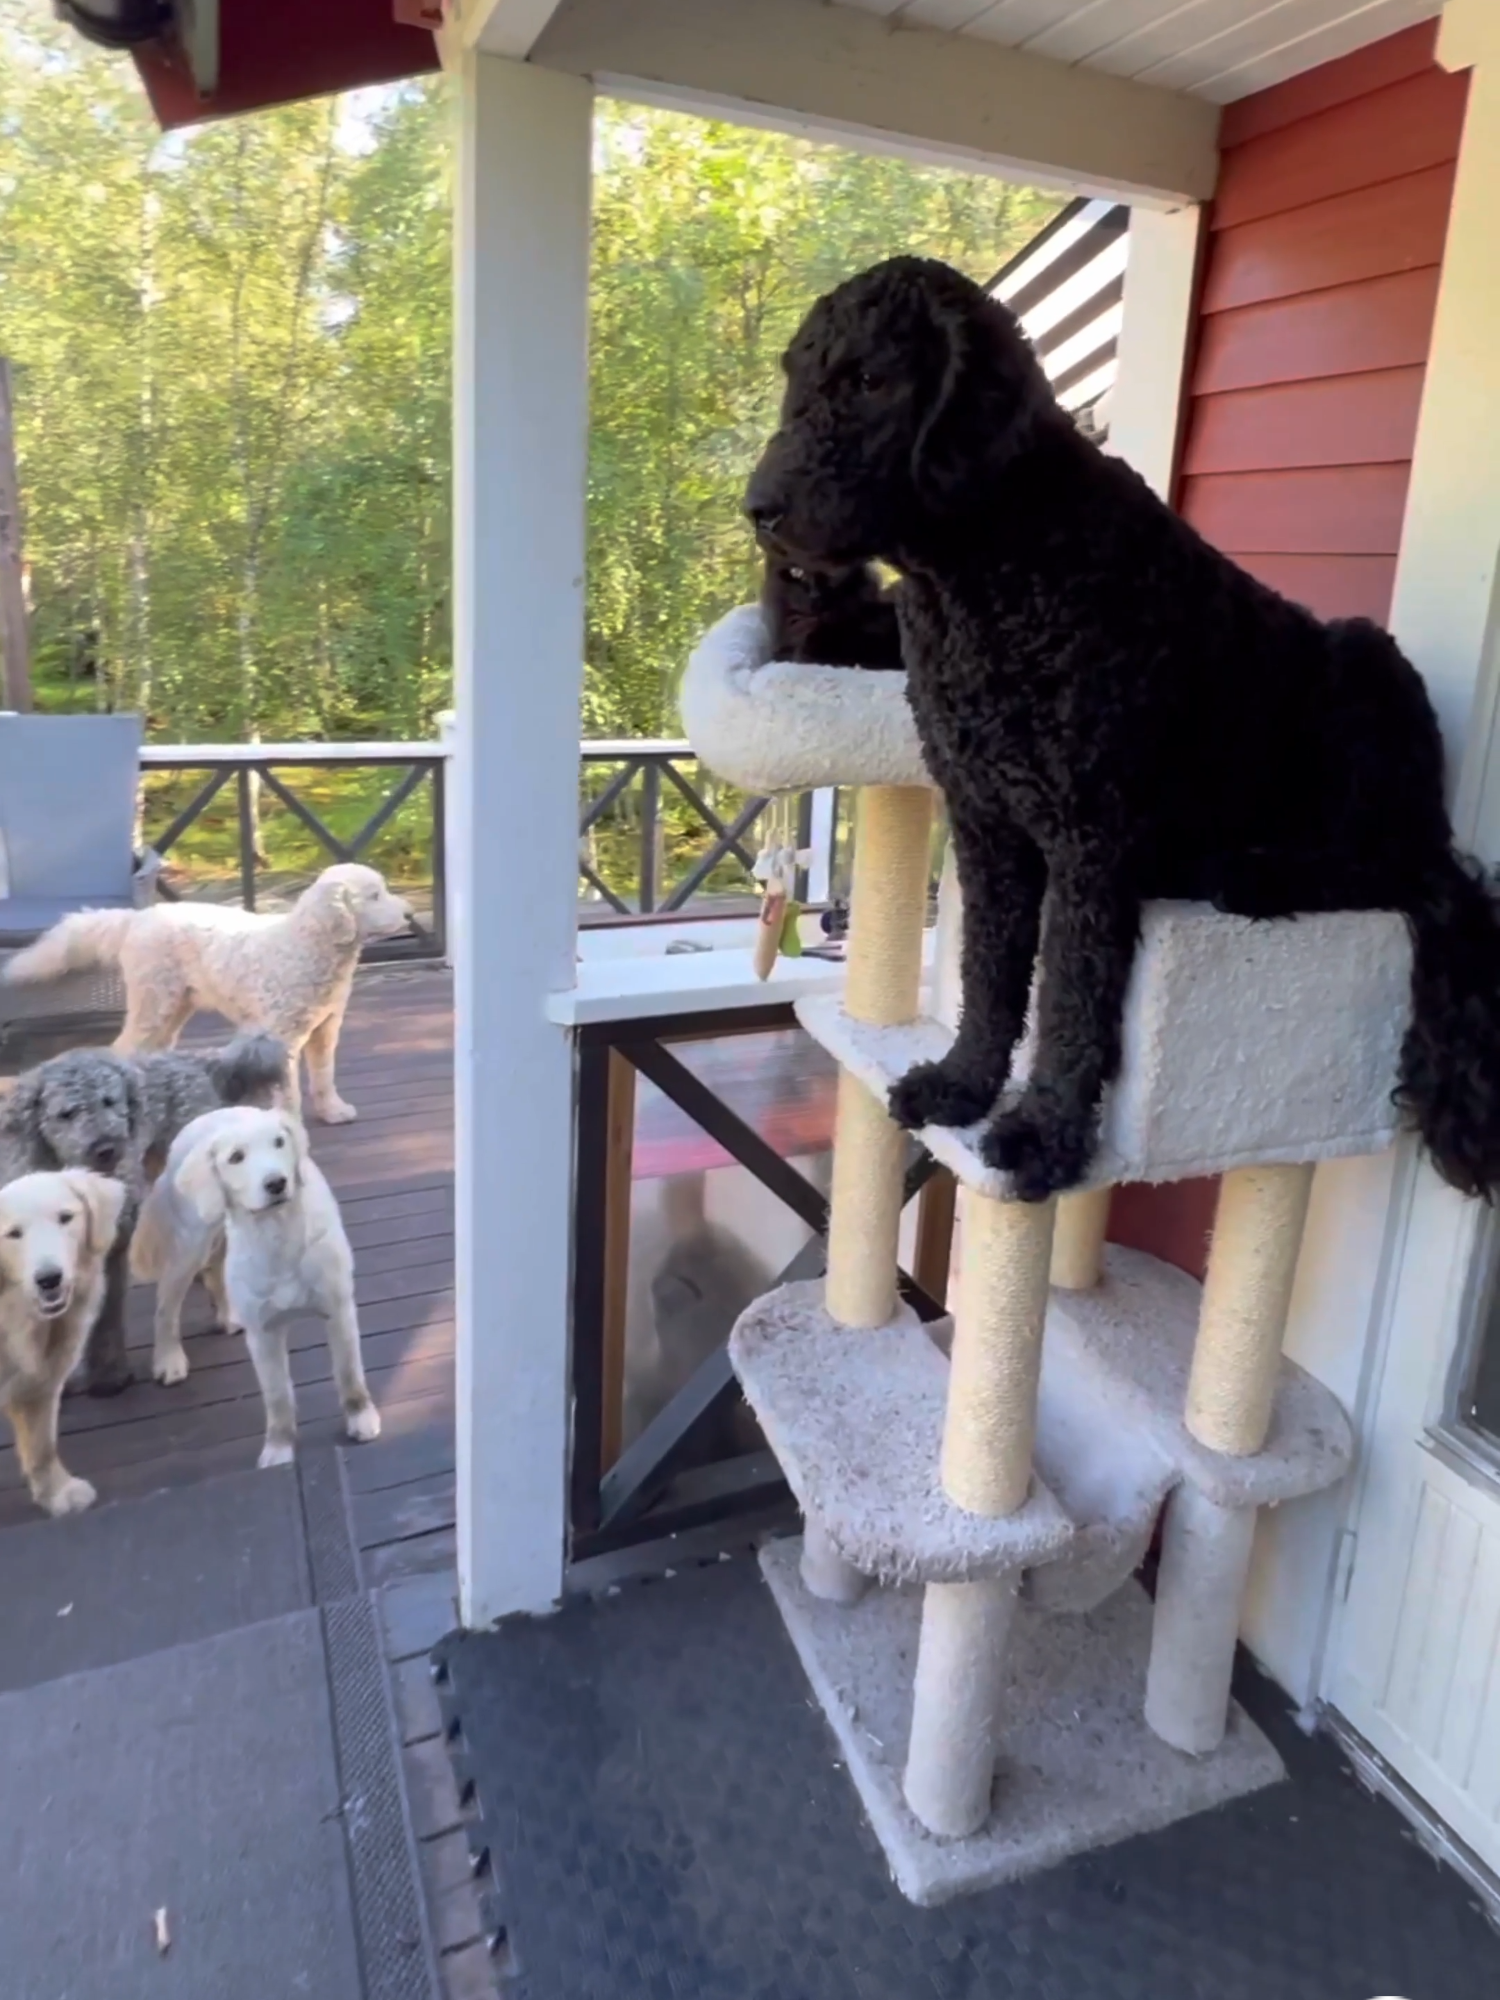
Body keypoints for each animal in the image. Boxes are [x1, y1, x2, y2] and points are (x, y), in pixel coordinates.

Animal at [0, 1168, 128, 1512]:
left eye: (65, 1218)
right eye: (13, 1234)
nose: (49, 1279)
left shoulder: (38, 1376)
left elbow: (42, 1444)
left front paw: (59, 1493)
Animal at [2, 864, 414, 1128]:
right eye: (375, 895)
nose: (411, 914)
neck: (308, 945)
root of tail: (139, 917)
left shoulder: (324, 1029)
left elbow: (324, 1075)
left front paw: (333, 1111)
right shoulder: (282, 1037)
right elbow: (289, 1093)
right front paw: (291, 1127)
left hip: (175, 1006)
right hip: (154, 1003)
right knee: (124, 1049)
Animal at [132, 1104, 382, 1464]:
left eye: (279, 1142)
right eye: (236, 1157)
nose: (277, 1183)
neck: (278, 1236)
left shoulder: (339, 1309)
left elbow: (348, 1372)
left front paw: (360, 1417)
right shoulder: (263, 1334)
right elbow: (277, 1396)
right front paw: (279, 1450)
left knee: (215, 1271)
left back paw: (227, 1316)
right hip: (191, 1245)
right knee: (167, 1304)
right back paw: (168, 1359)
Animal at [752, 256, 1500, 1192]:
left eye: (868, 381)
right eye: (794, 378)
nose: (757, 509)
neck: (993, 570)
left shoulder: (1088, 834)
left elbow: (1070, 994)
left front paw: (1045, 1132)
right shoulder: (986, 820)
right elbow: (988, 973)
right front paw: (965, 1083)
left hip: (1366, 668)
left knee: (1409, 874)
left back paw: (1257, 874)